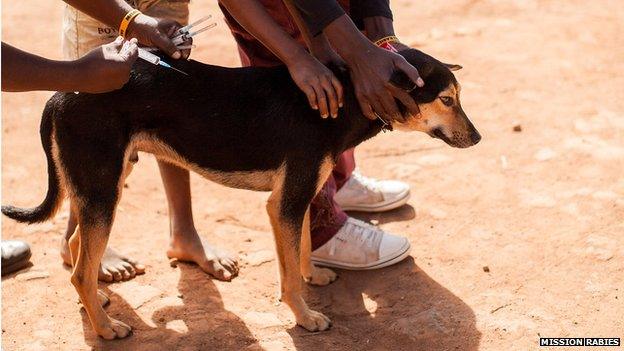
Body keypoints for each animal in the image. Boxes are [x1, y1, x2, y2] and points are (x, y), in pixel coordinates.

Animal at [1, 48, 478, 340]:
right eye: (446, 99)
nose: (477, 138)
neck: (344, 97)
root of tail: (59, 93)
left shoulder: (298, 195)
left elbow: (303, 246)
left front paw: (313, 275)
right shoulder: (283, 202)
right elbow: (287, 275)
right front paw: (305, 317)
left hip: (104, 183)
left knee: (76, 246)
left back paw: (97, 301)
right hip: (102, 189)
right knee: (79, 269)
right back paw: (106, 328)